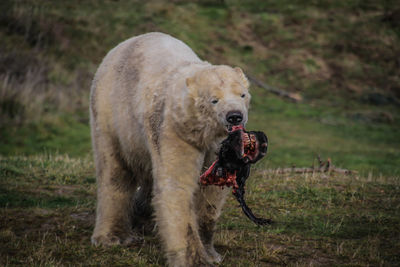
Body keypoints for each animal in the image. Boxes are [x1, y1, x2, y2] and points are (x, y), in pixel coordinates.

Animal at [91, 32, 250, 266]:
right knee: (114, 170)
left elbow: (213, 188)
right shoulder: (174, 129)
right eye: (214, 100)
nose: (235, 116)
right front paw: (193, 259)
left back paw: (143, 217)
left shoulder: (217, 143)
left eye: (242, 95)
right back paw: (112, 236)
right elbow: (177, 185)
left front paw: (211, 253)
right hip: (110, 112)